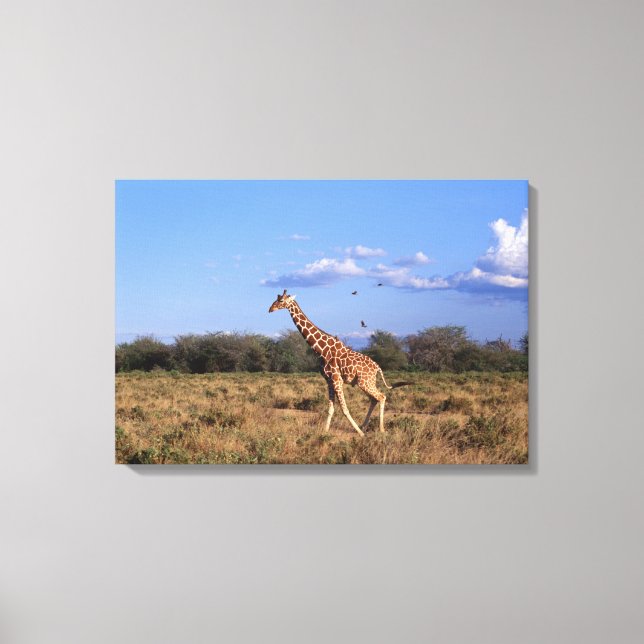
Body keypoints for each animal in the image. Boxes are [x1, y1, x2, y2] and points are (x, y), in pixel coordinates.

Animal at [268, 290, 408, 436]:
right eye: (276, 298)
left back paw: (380, 429)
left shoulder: (337, 379)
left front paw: (360, 433)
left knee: (381, 396)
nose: (270, 309)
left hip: (364, 382)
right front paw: (325, 432)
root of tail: (377, 367)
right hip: (366, 382)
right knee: (374, 399)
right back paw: (364, 426)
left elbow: (344, 409)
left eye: (281, 300)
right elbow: (331, 409)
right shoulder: (329, 380)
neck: (321, 350)